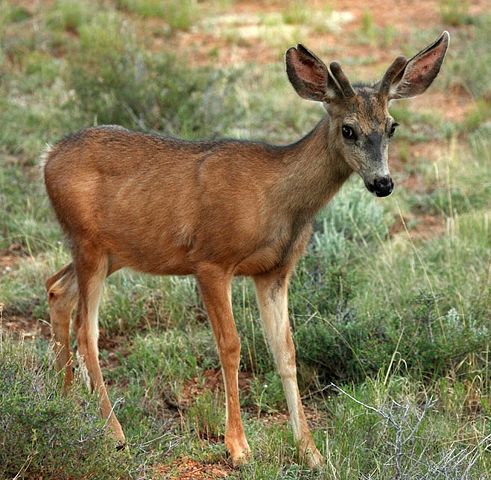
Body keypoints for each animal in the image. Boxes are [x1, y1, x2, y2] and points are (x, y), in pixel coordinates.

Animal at [43, 31, 450, 466]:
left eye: (391, 126)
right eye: (348, 129)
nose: (382, 183)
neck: (279, 200)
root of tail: (47, 157)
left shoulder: (274, 272)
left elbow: (285, 351)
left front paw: (310, 451)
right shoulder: (211, 260)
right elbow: (231, 346)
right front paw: (238, 447)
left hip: (111, 251)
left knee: (57, 288)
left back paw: (65, 404)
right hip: (89, 243)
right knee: (87, 330)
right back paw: (114, 433)